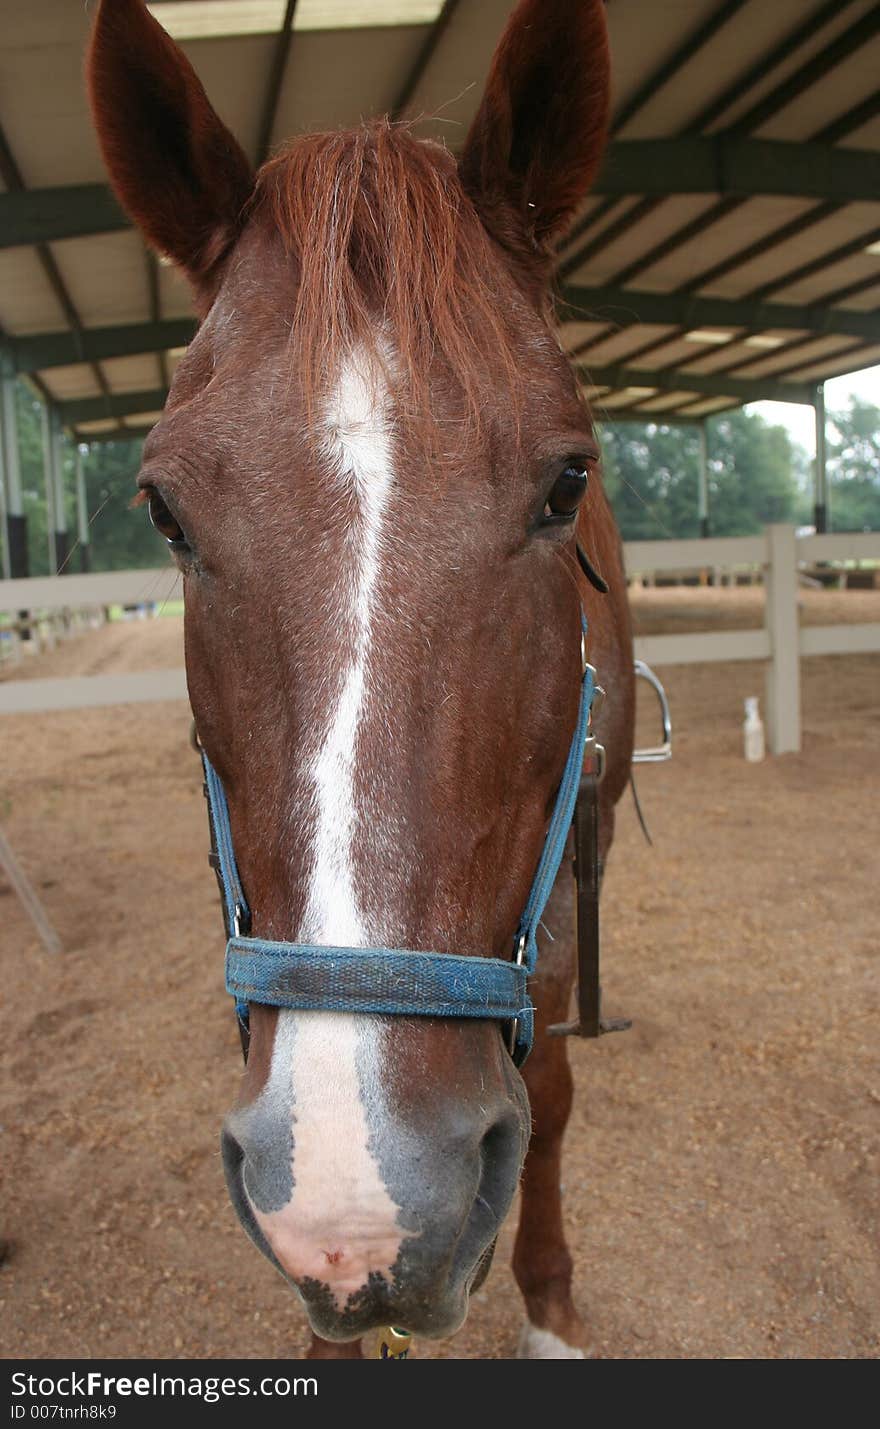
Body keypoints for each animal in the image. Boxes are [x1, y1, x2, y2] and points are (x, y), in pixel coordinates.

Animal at [87, 0, 631, 1360]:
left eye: (567, 481)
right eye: (163, 510)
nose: (361, 1201)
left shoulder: (549, 896)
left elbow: (548, 1085)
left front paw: (549, 1298)